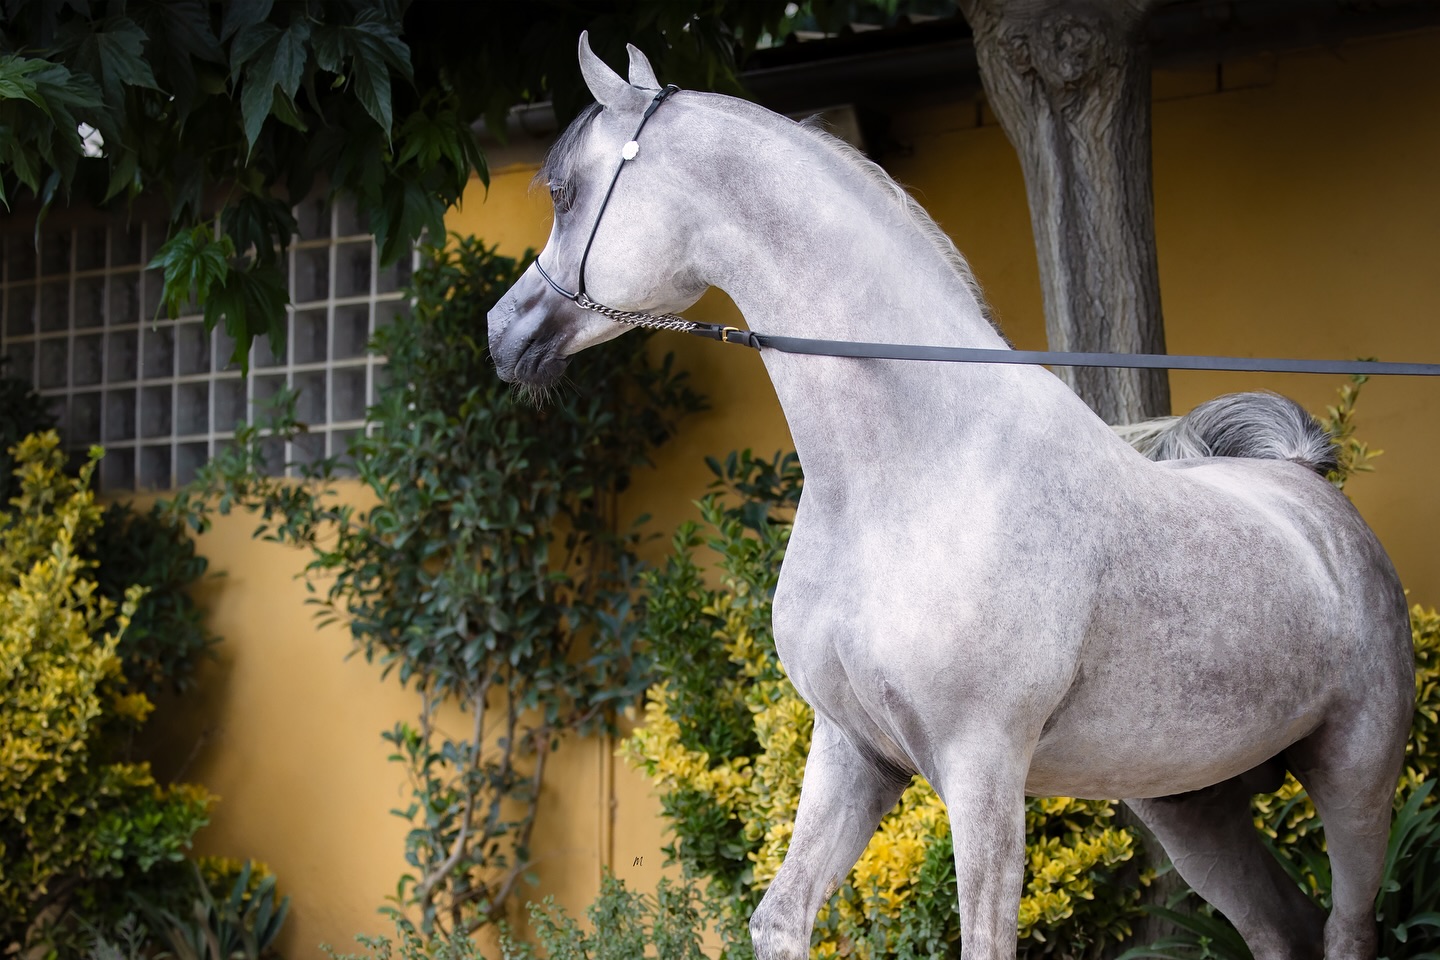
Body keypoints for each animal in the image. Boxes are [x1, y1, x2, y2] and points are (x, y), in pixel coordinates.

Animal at [486, 35, 1414, 960]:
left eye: (565, 193)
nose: (502, 333)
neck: (914, 469)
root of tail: (1307, 487)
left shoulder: (982, 768)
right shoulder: (854, 752)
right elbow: (780, 918)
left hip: (1355, 780)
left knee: (1346, 929)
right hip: (1191, 804)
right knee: (1286, 929)